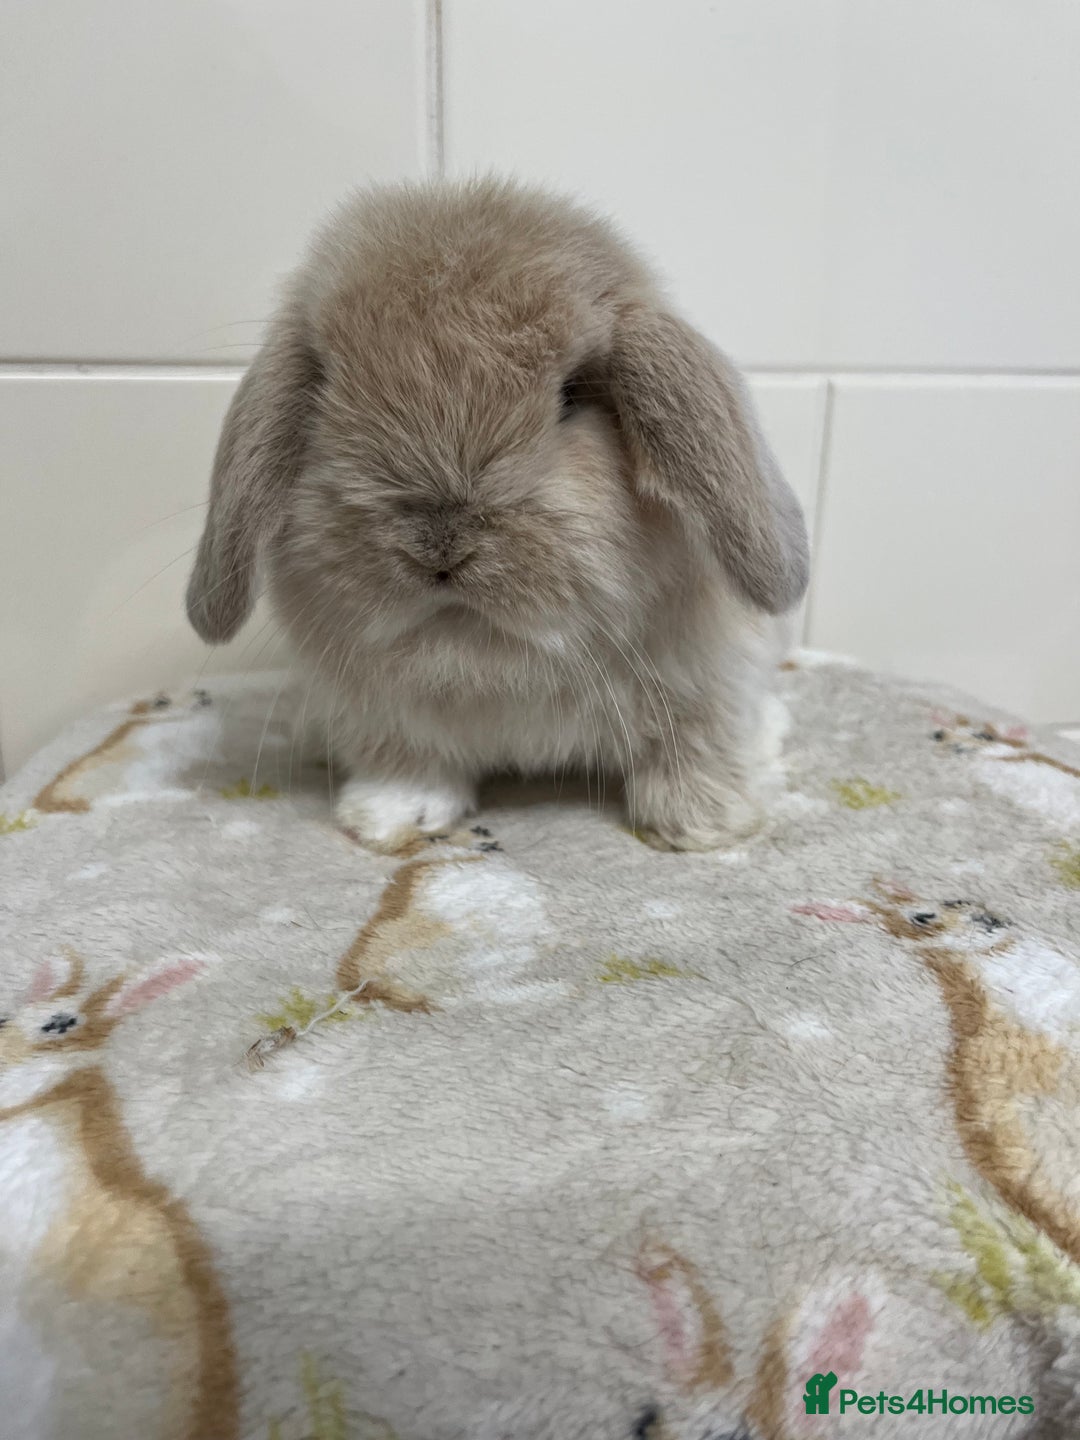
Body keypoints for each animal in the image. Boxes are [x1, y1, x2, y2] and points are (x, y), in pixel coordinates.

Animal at [186, 177, 809, 854]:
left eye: (573, 396)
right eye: (324, 386)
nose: (438, 547)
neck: (487, 656)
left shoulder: (707, 683)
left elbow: (693, 748)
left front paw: (703, 824)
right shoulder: (387, 714)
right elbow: (409, 762)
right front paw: (386, 820)